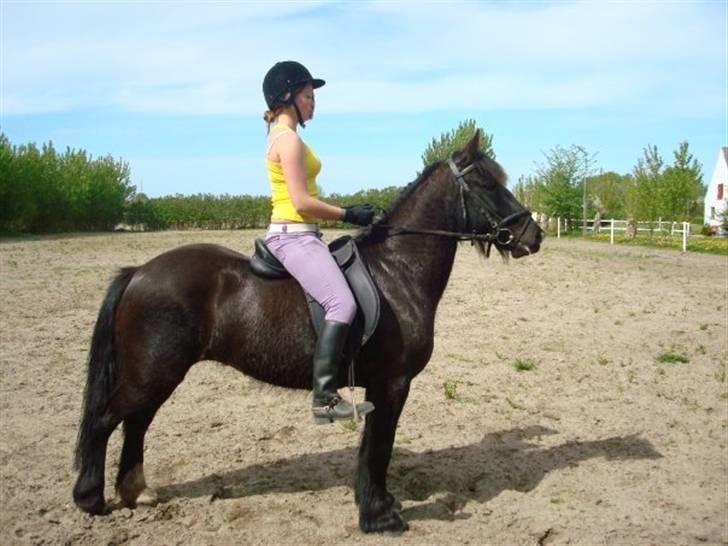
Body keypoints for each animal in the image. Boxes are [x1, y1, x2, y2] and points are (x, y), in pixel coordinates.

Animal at [72, 132, 544, 533]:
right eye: (486, 183)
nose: (532, 235)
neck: (397, 269)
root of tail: (139, 272)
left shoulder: (379, 385)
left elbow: (371, 448)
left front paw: (375, 505)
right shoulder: (392, 383)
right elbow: (380, 447)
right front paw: (379, 516)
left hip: (157, 374)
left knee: (136, 423)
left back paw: (136, 492)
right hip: (153, 372)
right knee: (106, 421)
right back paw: (90, 499)